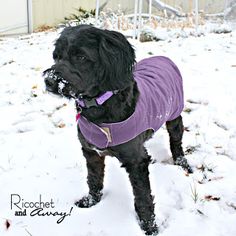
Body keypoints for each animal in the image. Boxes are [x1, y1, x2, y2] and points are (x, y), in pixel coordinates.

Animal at [43, 24, 192, 235]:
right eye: (56, 56)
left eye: (81, 57)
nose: (49, 80)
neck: (99, 109)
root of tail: (162, 58)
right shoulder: (91, 152)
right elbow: (94, 178)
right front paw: (91, 201)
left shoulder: (136, 162)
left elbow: (143, 197)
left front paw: (149, 226)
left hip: (174, 116)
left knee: (176, 141)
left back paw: (182, 163)